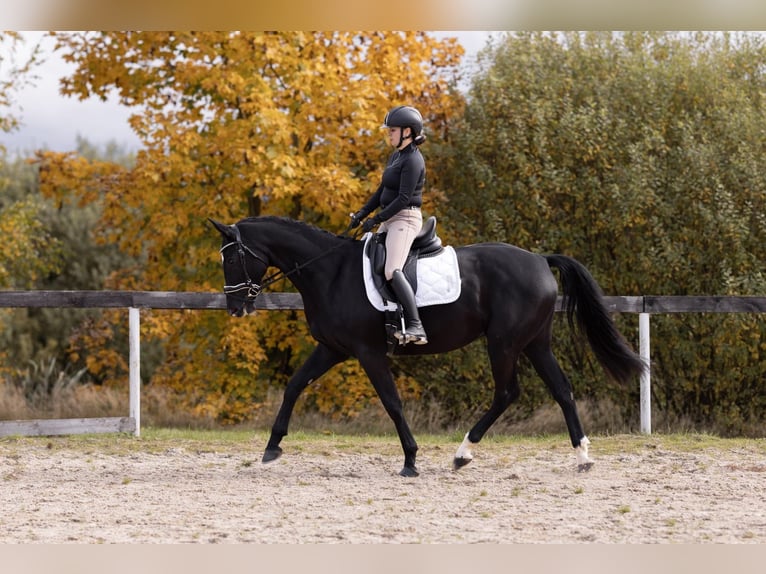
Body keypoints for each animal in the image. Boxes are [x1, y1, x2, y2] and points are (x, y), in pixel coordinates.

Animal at [210, 216, 645, 477]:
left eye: (231, 259)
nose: (234, 307)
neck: (330, 272)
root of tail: (539, 259)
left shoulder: (368, 352)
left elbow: (392, 403)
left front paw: (410, 460)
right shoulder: (333, 349)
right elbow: (295, 386)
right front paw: (272, 448)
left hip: (504, 342)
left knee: (507, 392)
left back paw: (463, 453)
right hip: (535, 342)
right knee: (562, 390)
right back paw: (582, 456)